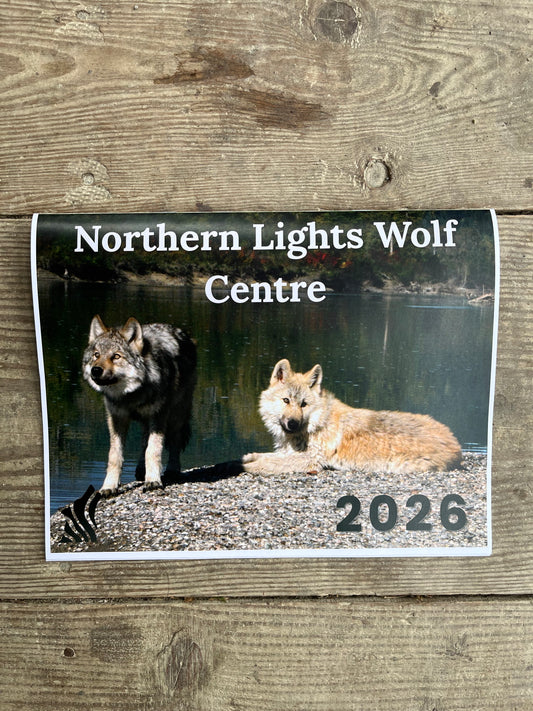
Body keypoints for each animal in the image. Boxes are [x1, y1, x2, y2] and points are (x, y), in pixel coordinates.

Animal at [82, 315, 197, 496]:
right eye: (96, 355)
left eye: (116, 356)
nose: (96, 370)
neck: (131, 395)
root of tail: (182, 332)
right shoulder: (117, 418)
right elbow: (115, 455)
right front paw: (109, 486)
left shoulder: (158, 416)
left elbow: (153, 449)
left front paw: (153, 481)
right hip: (147, 420)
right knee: (144, 441)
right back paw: (141, 470)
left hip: (176, 415)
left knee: (174, 441)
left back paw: (172, 470)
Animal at [243, 359, 462, 475]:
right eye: (286, 400)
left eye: (304, 404)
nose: (292, 423)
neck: (315, 424)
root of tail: (456, 444)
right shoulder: (290, 453)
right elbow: (267, 456)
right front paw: (250, 457)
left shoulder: (310, 460)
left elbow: (268, 463)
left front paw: (248, 466)